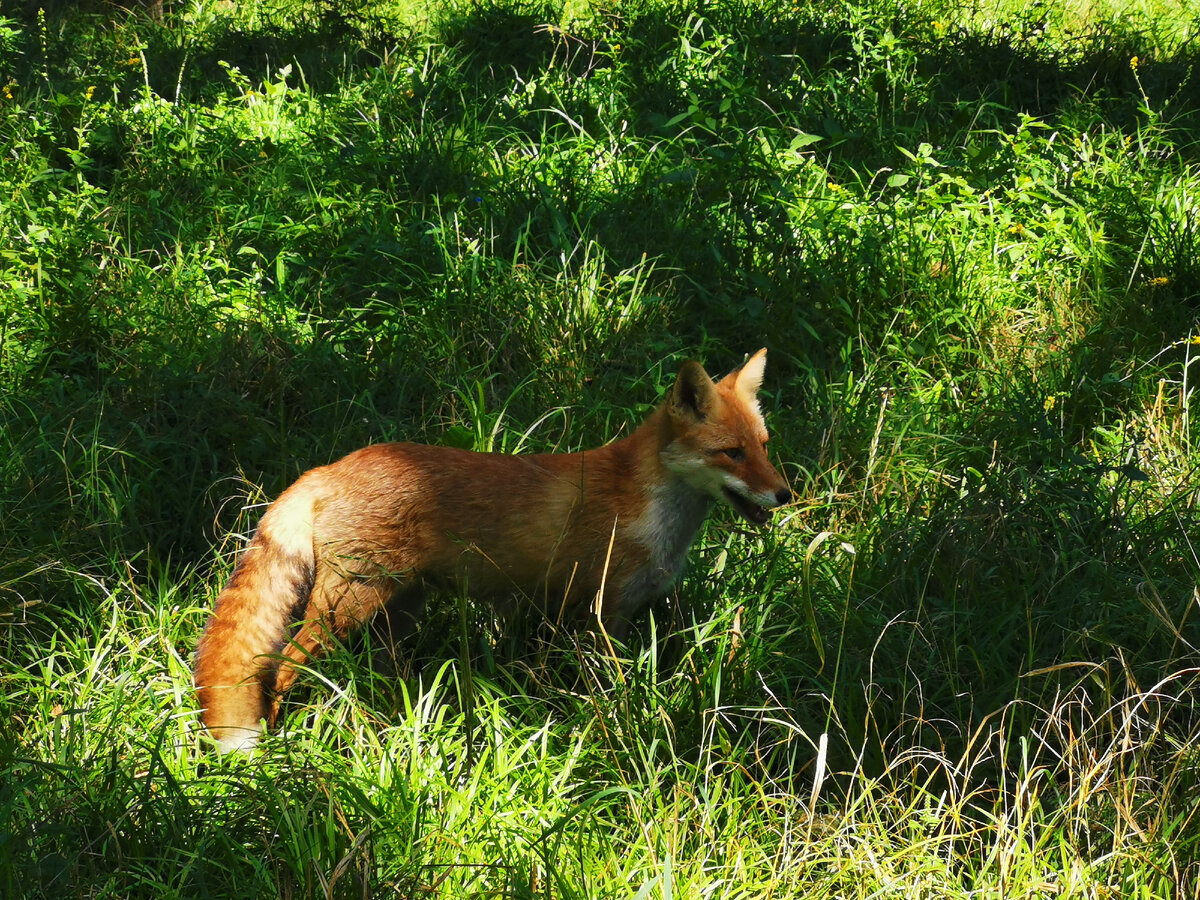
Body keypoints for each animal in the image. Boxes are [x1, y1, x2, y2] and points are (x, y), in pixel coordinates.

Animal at [193, 348, 792, 748]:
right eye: (732, 453)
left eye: (764, 447)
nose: (785, 495)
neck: (647, 507)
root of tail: (327, 468)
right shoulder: (600, 613)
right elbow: (618, 692)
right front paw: (627, 728)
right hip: (348, 609)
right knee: (281, 667)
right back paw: (282, 744)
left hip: (398, 613)